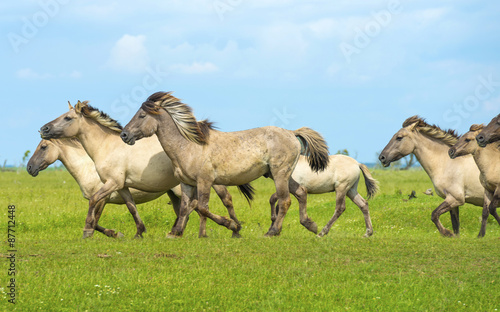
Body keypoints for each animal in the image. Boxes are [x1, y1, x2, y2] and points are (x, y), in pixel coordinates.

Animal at [38, 101, 254, 238]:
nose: (43, 129)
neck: (106, 147)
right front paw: (138, 232)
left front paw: (88, 231)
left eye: (67, 118)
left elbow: (94, 205)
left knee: (220, 201)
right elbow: (132, 207)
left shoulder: (110, 184)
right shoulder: (122, 186)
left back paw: (230, 229)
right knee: (189, 207)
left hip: (205, 183)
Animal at [120, 91, 330, 238]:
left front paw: (231, 226)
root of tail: (291, 133)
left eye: (141, 115)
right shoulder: (186, 183)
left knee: (285, 200)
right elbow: (185, 207)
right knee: (301, 192)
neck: (188, 146)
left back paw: (272, 232)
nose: (124, 135)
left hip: (280, 174)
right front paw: (176, 232)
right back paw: (311, 225)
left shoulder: (205, 181)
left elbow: (202, 207)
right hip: (277, 174)